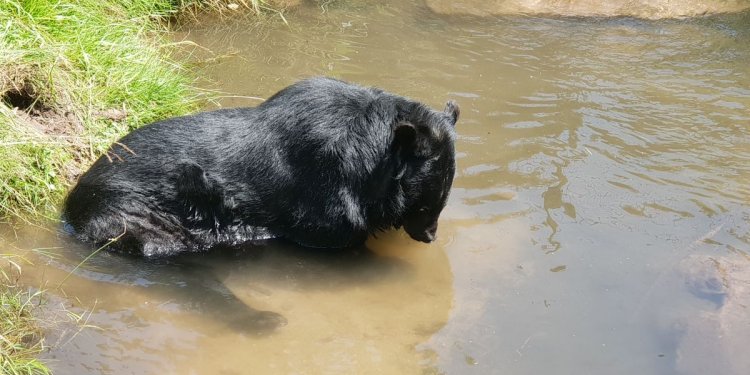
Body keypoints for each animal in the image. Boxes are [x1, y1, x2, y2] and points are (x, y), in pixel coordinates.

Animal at [64, 77, 462, 258]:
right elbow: (336, 234)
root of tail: (71, 208)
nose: (430, 235)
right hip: (138, 218)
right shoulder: (326, 205)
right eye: (427, 202)